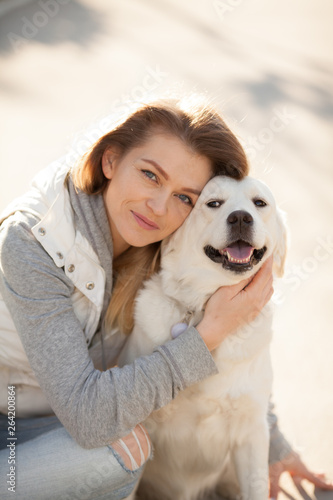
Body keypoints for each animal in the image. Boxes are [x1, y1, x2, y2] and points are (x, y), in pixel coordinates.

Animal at [118, 176, 286, 500]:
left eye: (259, 203)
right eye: (213, 203)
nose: (240, 217)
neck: (205, 307)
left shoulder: (251, 431)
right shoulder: (143, 429)